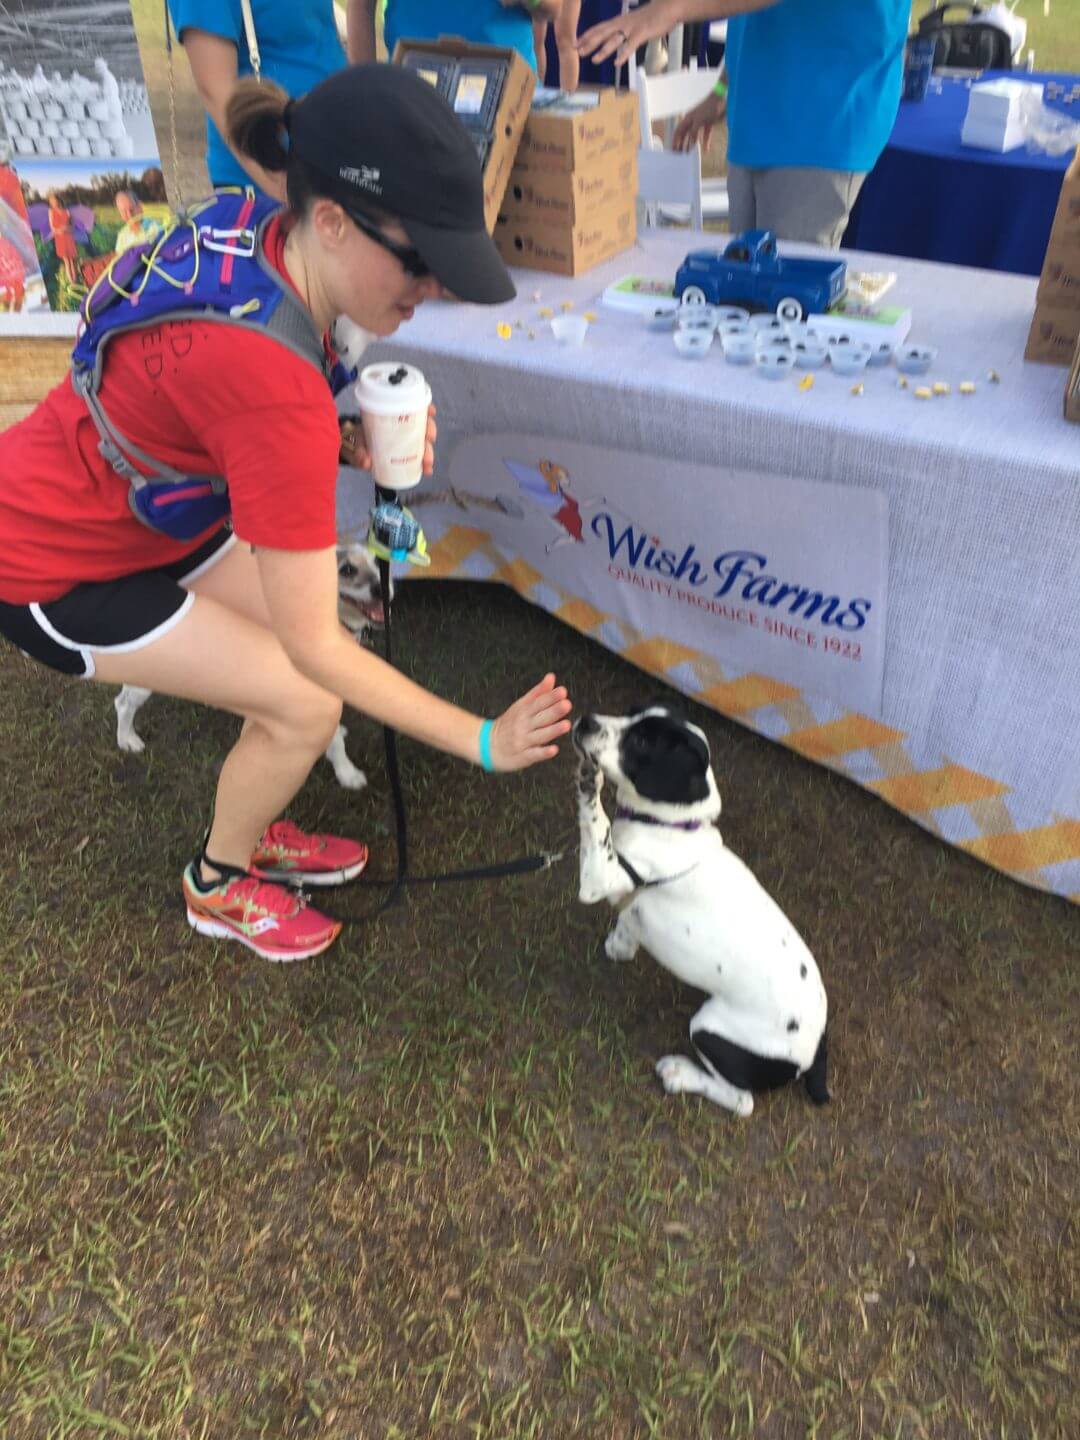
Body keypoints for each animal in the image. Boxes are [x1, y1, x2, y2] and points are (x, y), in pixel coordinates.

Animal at [113, 541, 394, 789]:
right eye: (347, 570)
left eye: (379, 562)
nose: (382, 588)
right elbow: (334, 743)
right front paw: (347, 772)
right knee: (123, 702)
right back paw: (127, 739)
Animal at [578, 702, 835, 1117]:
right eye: (631, 712)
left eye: (642, 742)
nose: (586, 721)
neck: (669, 826)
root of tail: (814, 1053)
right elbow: (628, 919)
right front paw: (622, 944)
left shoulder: (599, 877)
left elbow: (594, 822)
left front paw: (589, 784)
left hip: (710, 1030)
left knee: (742, 1101)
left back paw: (681, 1074)